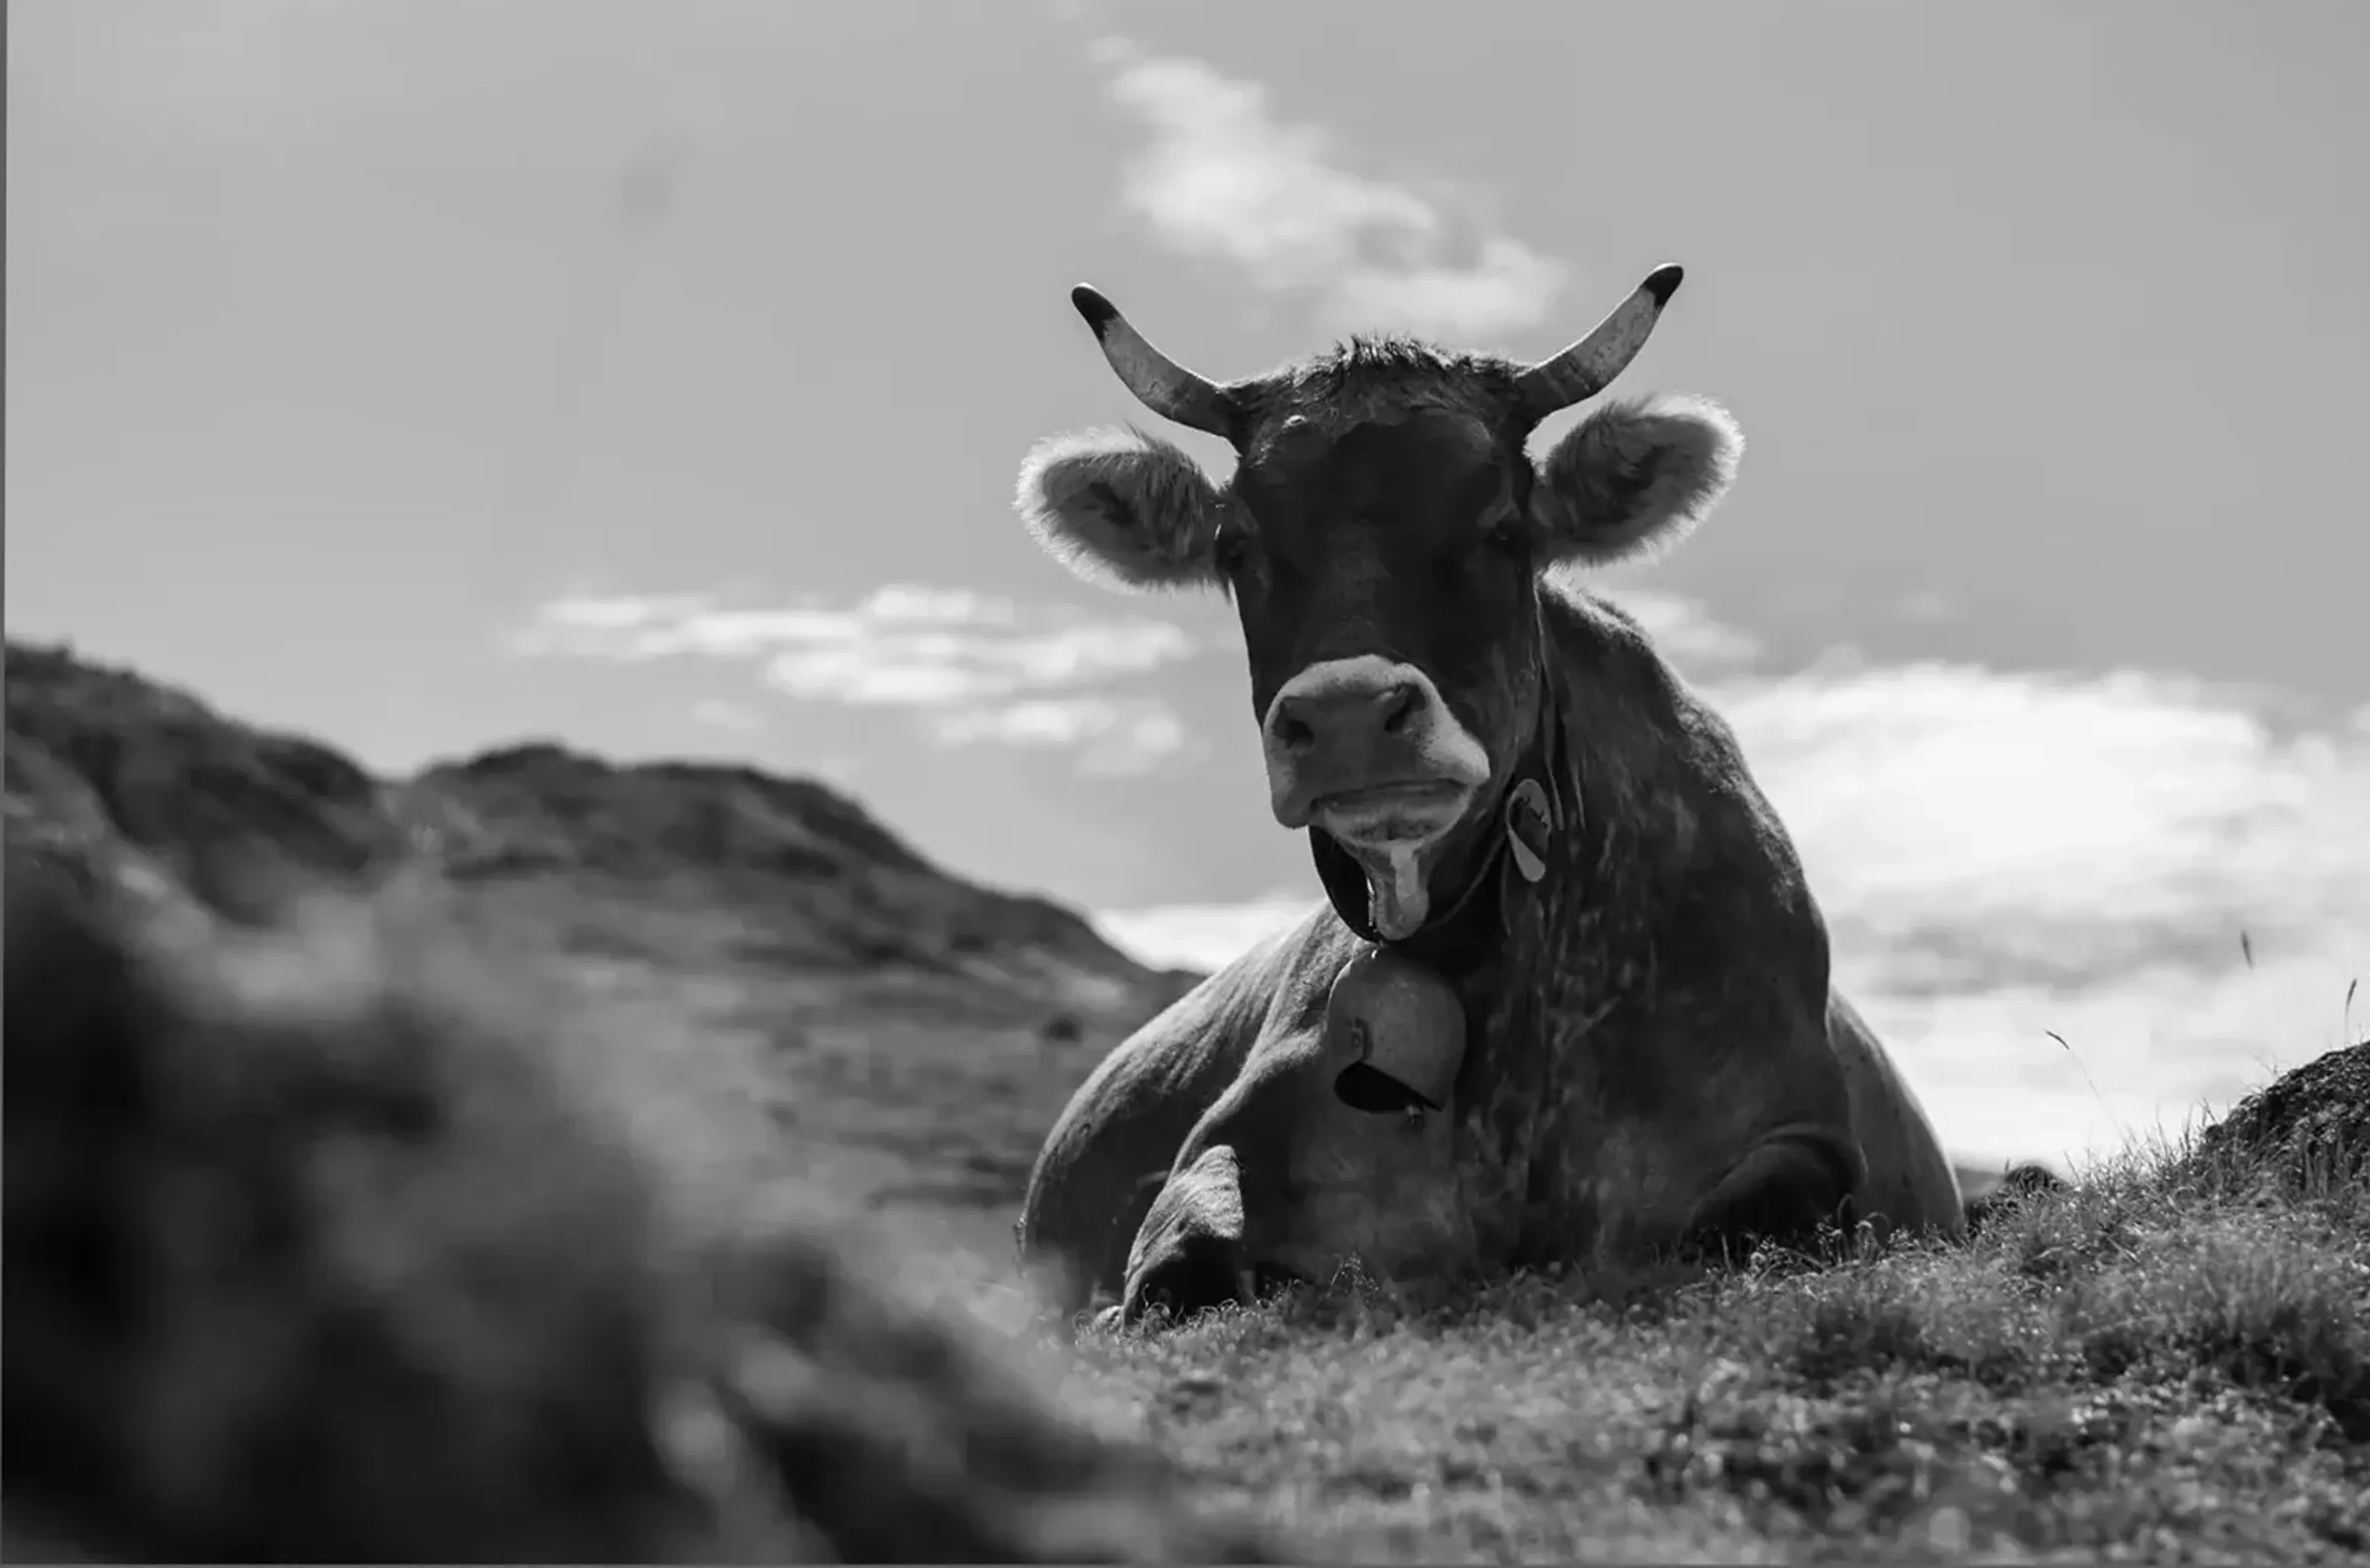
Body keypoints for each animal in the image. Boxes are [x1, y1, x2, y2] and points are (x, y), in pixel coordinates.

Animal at [1009, 263, 1982, 1329]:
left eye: (1504, 530)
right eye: (1236, 548)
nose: (1349, 718)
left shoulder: (1802, 1130)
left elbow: (1756, 1211)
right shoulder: (1226, 1140)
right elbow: (1181, 1267)